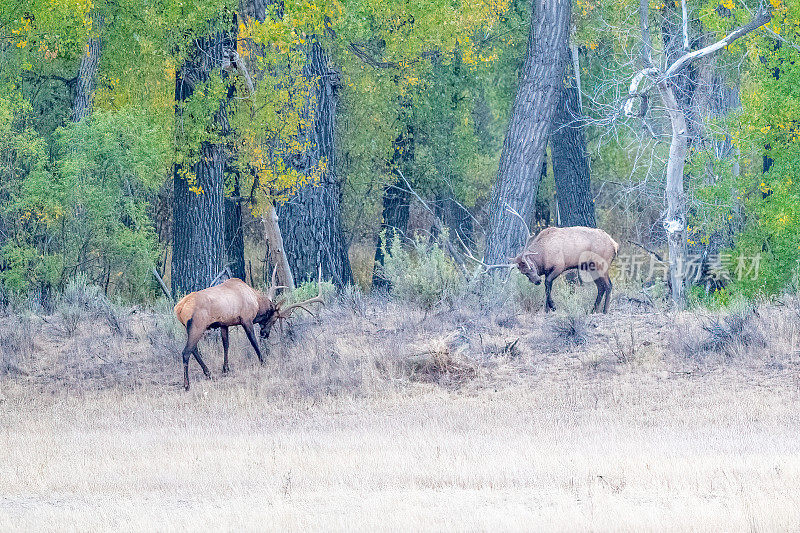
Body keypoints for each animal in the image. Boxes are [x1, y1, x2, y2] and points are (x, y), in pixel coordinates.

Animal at [173, 268, 324, 388]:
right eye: (275, 319)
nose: (265, 334)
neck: (256, 303)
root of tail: (179, 308)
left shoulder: (224, 324)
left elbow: (226, 344)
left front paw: (226, 368)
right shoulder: (246, 320)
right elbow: (253, 342)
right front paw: (263, 361)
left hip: (189, 328)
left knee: (194, 349)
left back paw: (208, 373)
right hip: (198, 326)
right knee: (186, 352)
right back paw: (187, 384)